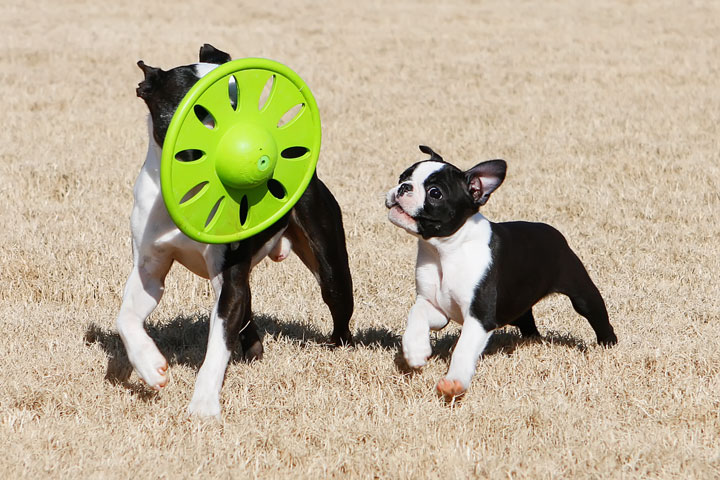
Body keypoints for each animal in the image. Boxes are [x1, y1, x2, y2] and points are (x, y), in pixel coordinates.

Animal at [116, 45, 352, 416]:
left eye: (236, 97)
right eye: (196, 109)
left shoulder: (227, 281)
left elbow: (216, 348)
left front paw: (203, 403)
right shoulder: (148, 271)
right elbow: (125, 319)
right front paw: (150, 367)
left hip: (331, 267)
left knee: (337, 304)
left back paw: (339, 349)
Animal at [386, 145, 616, 398]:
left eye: (435, 193)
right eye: (403, 176)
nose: (404, 187)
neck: (446, 251)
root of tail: (554, 232)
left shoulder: (480, 317)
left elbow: (464, 348)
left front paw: (454, 381)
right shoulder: (436, 306)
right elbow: (416, 314)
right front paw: (415, 350)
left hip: (581, 293)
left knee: (597, 315)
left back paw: (608, 344)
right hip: (517, 304)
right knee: (527, 322)